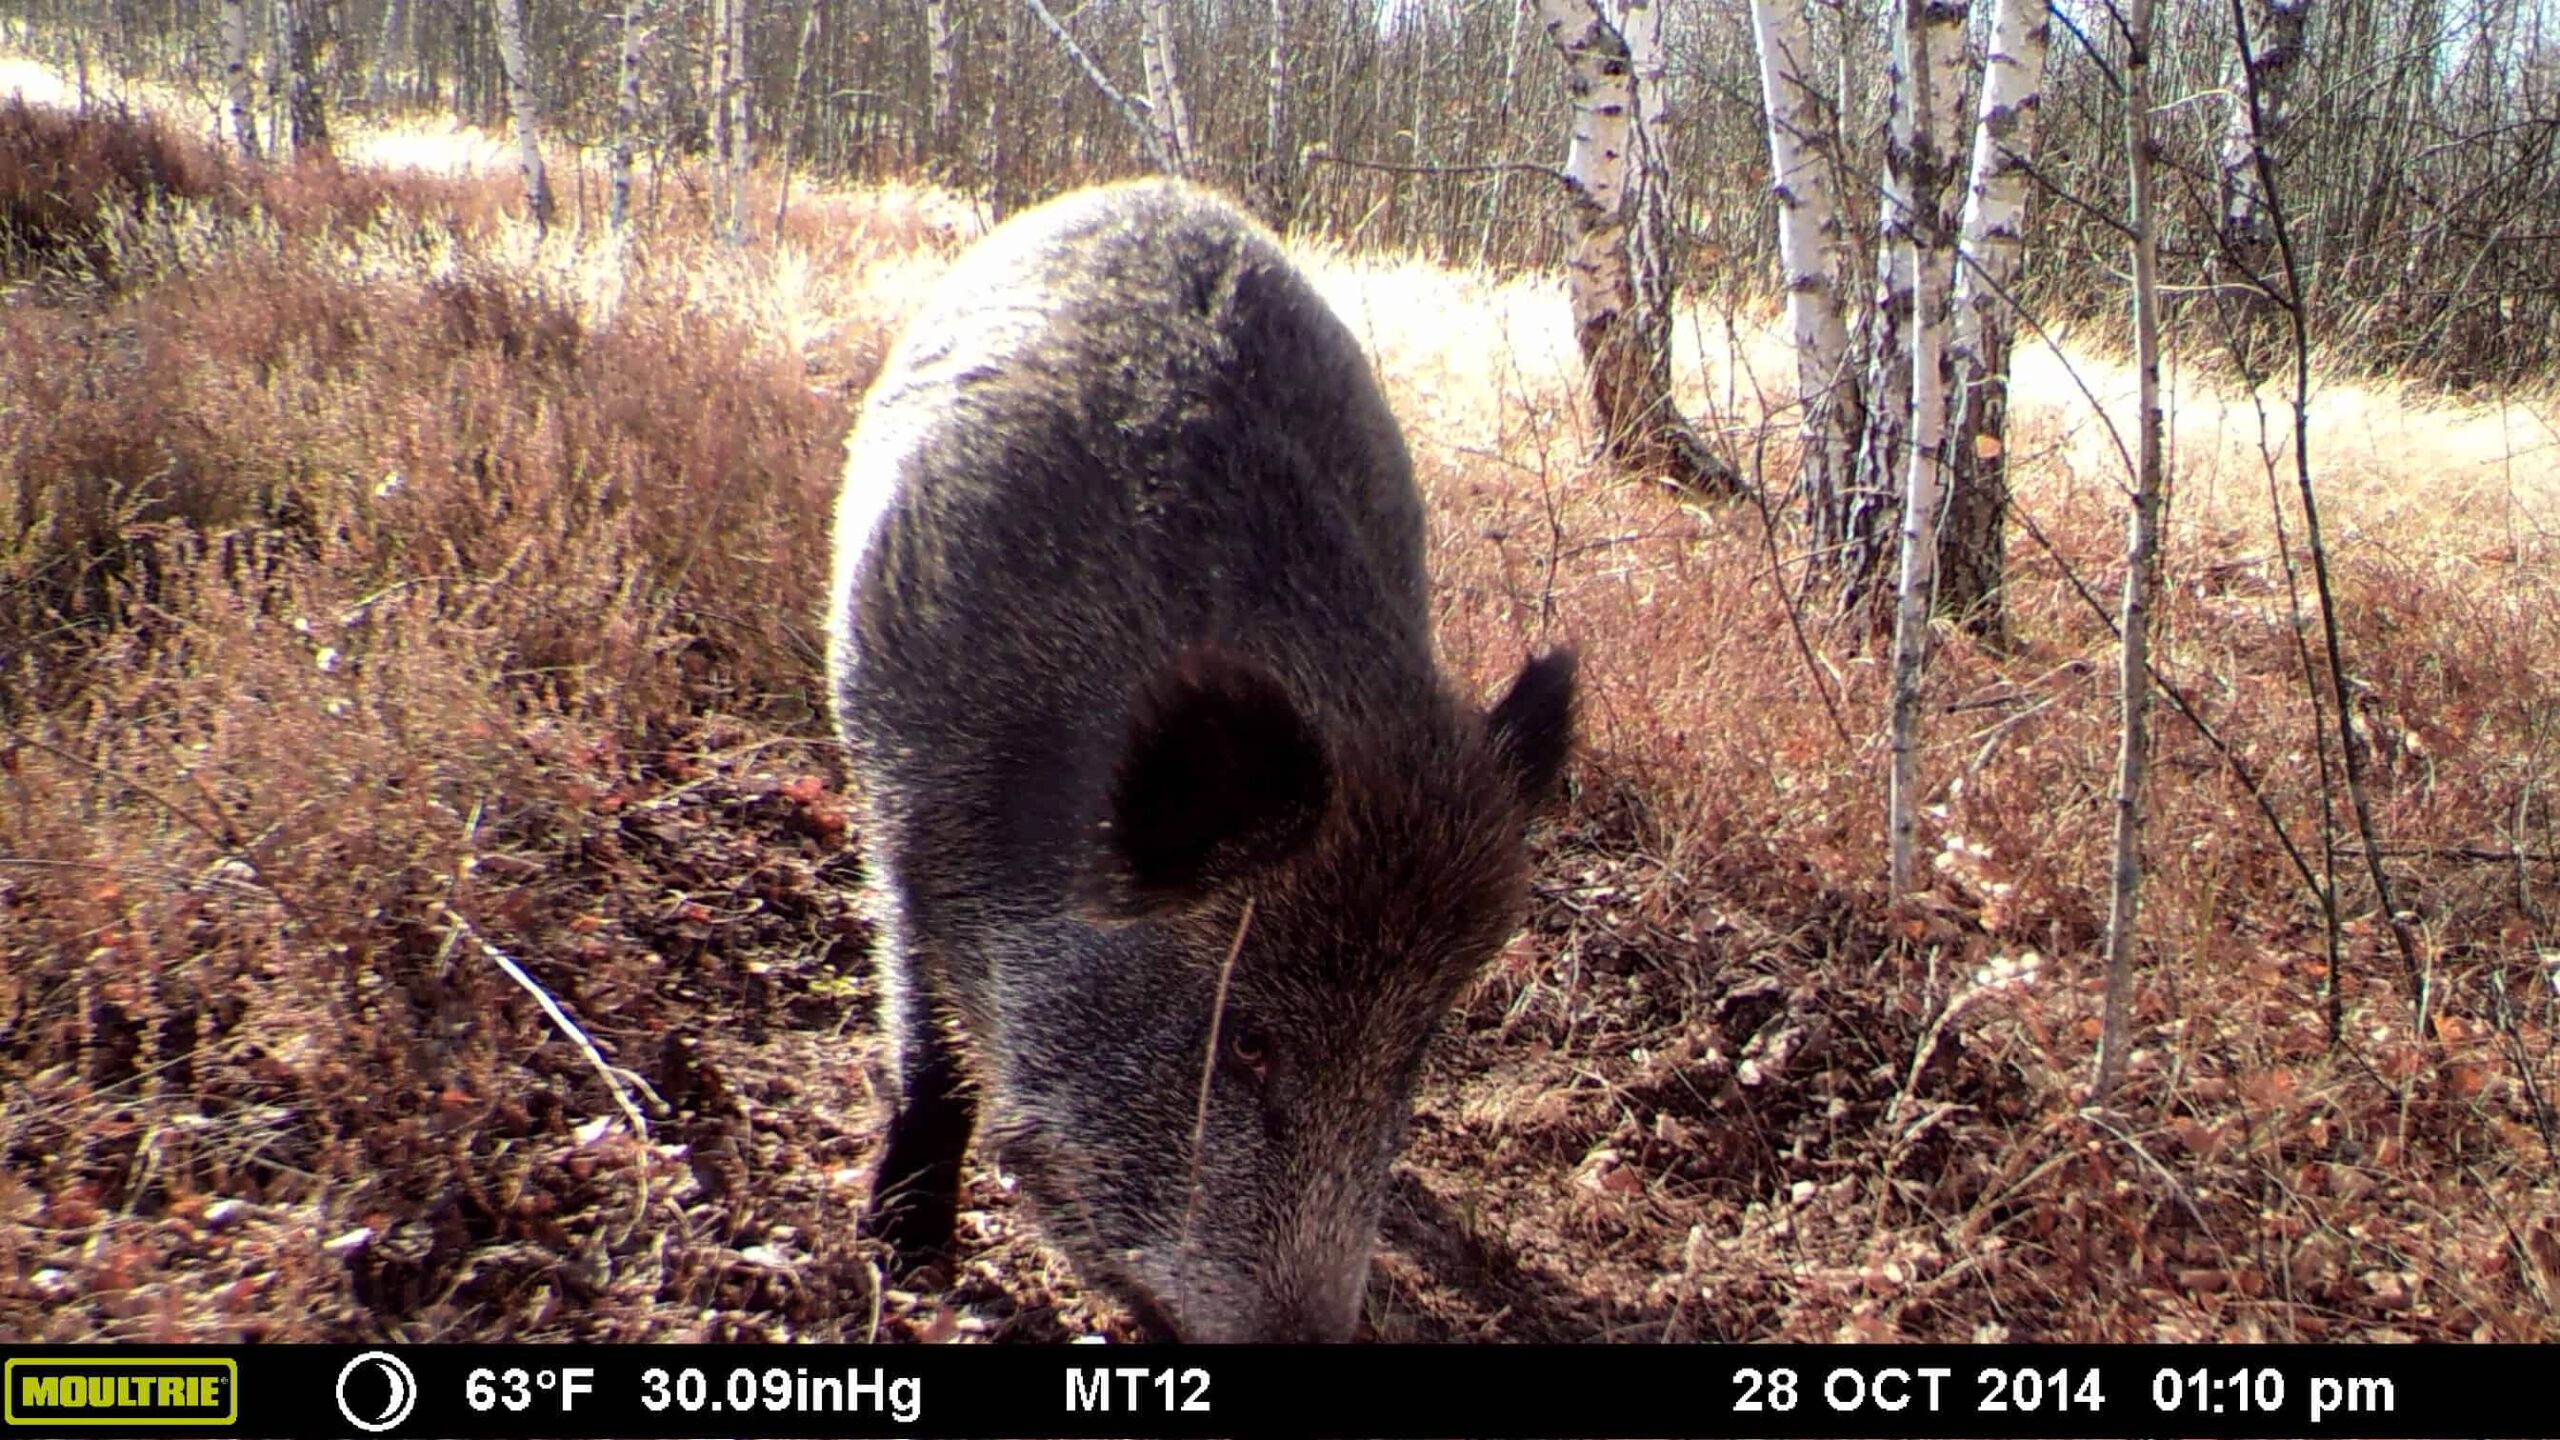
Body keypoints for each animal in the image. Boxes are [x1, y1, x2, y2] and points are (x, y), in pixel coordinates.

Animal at [825, 177, 1575, 1343]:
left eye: (1415, 1053)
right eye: (1249, 1042)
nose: (1313, 1335)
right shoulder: (901, 812)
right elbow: (928, 1047)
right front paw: (904, 1251)